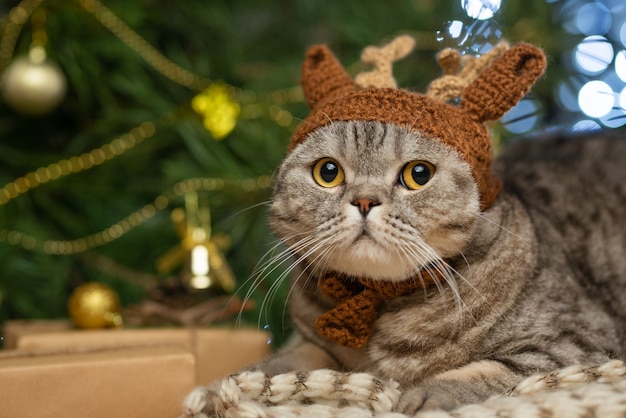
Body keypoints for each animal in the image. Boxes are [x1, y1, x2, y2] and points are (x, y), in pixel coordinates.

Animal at [244, 40, 624, 414]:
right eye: (327, 172)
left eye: (418, 174)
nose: (364, 201)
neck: (384, 305)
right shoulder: (311, 336)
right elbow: (302, 356)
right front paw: (258, 375)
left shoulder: (576, 344)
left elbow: (487, 370)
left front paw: (428, 393)